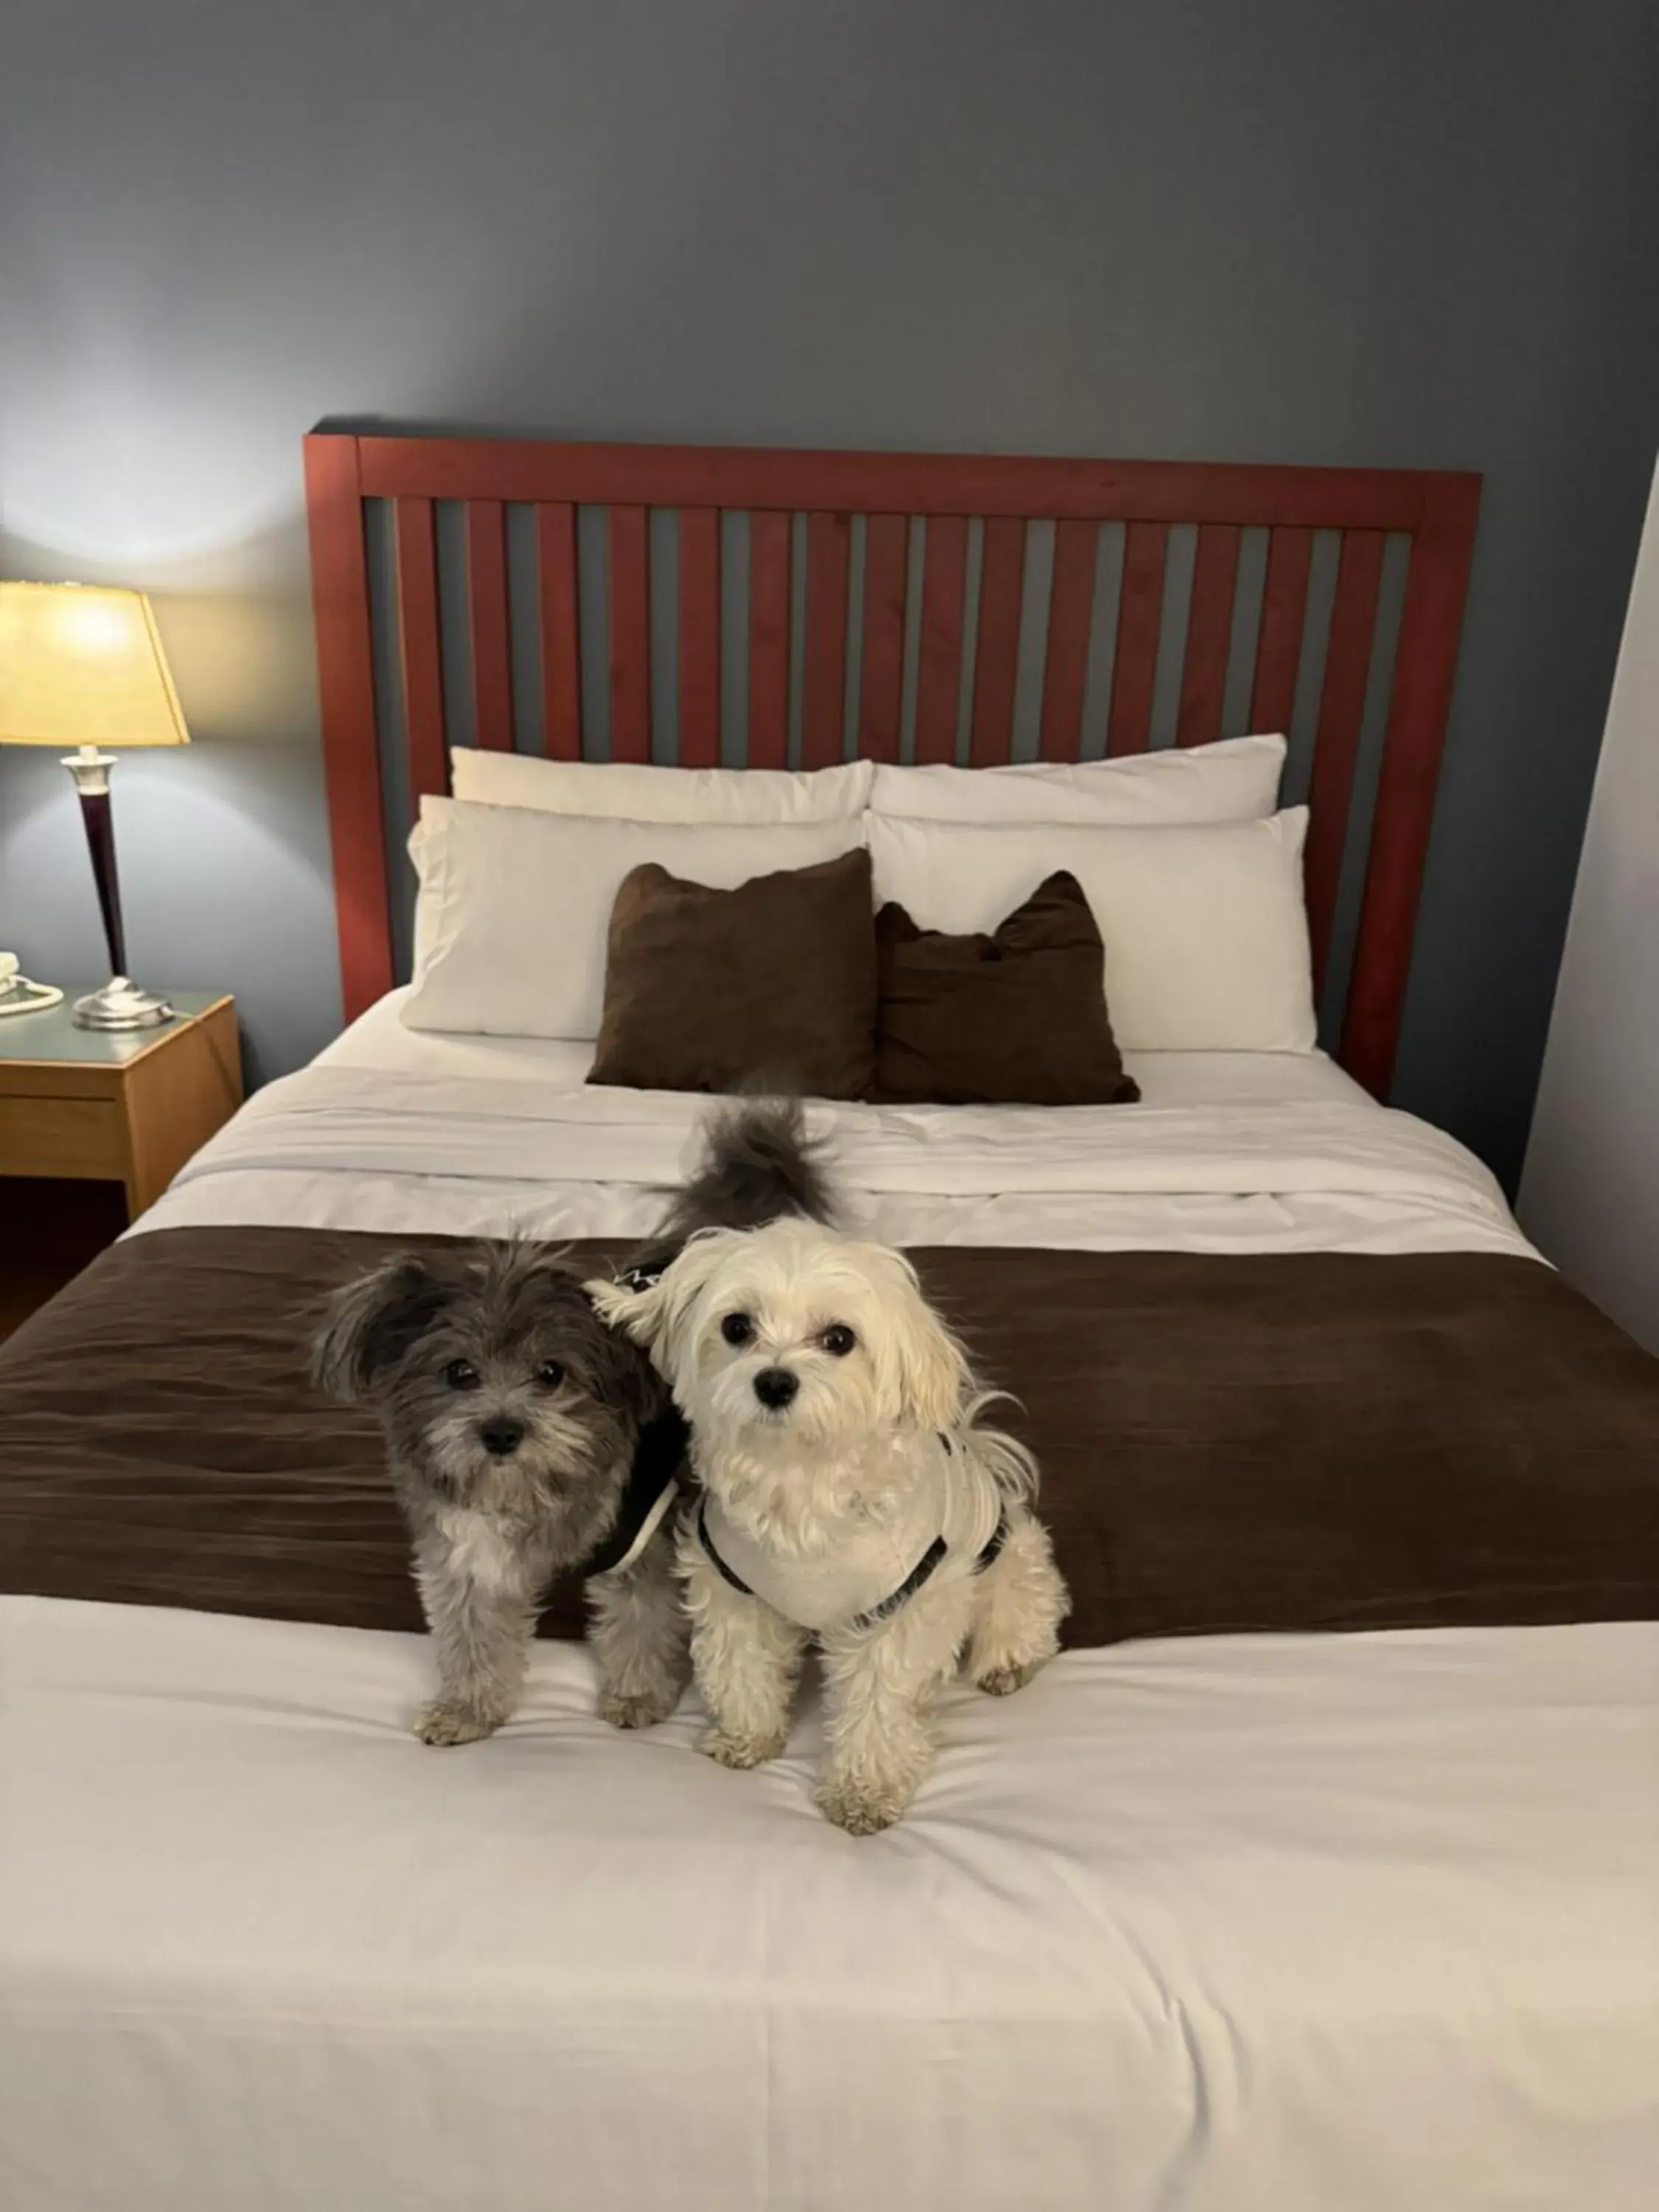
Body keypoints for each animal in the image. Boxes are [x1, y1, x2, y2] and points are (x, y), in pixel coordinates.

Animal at [312, 1102, 832, 1743]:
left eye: (552, 1372)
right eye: (458, 1371)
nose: (501, 1433)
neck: (536, 1494)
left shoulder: (642, 1539)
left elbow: (641, 1623)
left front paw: (637, 1694)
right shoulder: (470, 1547)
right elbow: (474, 1633)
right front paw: (469, 1708)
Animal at [593, 1212, 1071, 1832]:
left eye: (839, 1339)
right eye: (737, 1326)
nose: (775, 1382)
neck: (797, 1482)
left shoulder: (897, 1607)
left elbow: (879, 1705)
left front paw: (864, 1792)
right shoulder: (733, 1589)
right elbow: (741, 1667)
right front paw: (747, 1739)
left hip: (1010, 1563)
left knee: (1022, 1612)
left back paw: (1009, 1664)